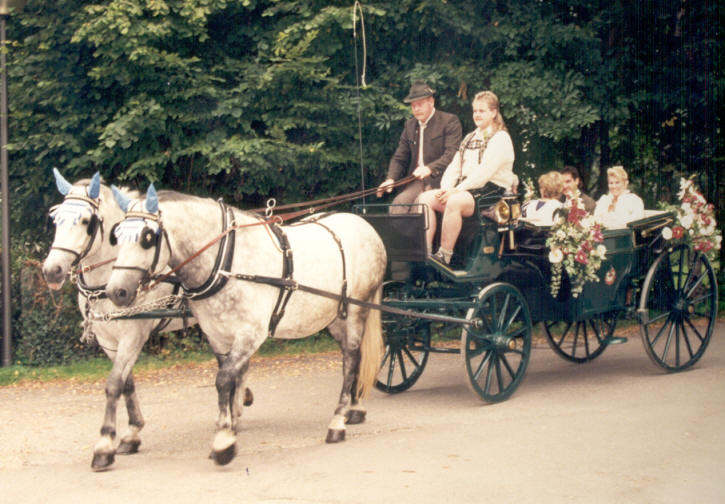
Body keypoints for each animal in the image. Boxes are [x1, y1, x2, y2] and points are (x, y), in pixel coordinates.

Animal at [41, 170, 252, 471]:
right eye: (56, 219)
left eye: (85, 221)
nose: (52, 271)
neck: (110, 272)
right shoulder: (108, 340)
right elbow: (126, 383)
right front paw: (131, 434)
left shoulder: (133, 335)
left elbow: (113, 384)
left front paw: (105, 446)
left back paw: (233, 414)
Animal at [104, 185, 386, 465]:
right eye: (116, 235)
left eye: (147, 237)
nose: (117, 291)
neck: (227, 261)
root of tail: (365, 225)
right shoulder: (217, 336)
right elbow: (228, 381)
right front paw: (229, 428)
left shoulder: (251, 334)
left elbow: (223, 379)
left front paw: (223, 442)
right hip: (335, 318)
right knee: (351, 357)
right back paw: (352, 410)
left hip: (356, 310)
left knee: (351, 360)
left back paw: (338, 422)